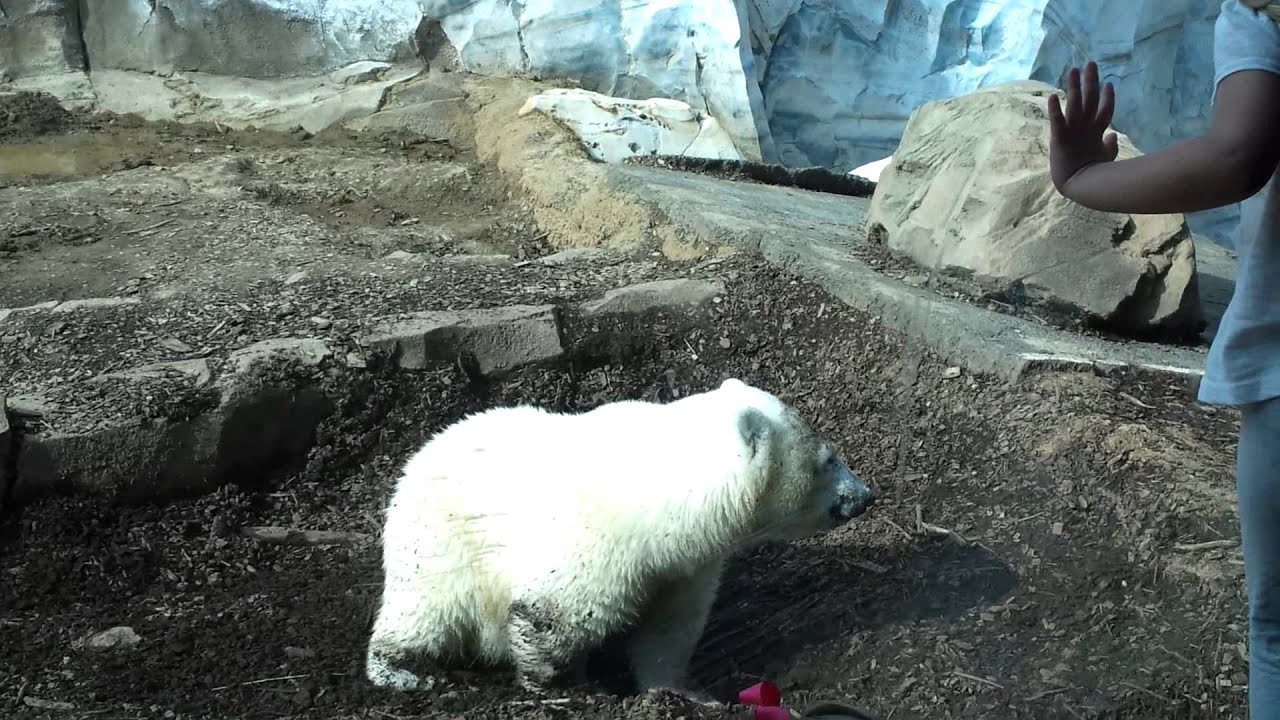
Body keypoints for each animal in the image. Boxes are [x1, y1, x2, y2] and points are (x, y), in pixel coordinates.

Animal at [364, 377, 876, 701]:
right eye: (829, 459)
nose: (865, 497)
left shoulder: (684, 563)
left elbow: (669, 628)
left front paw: (686, 693)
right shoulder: (598, 543)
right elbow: (549, 614)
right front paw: (570, 690)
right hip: (437, 546)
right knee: (424, 615)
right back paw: (402, 670)